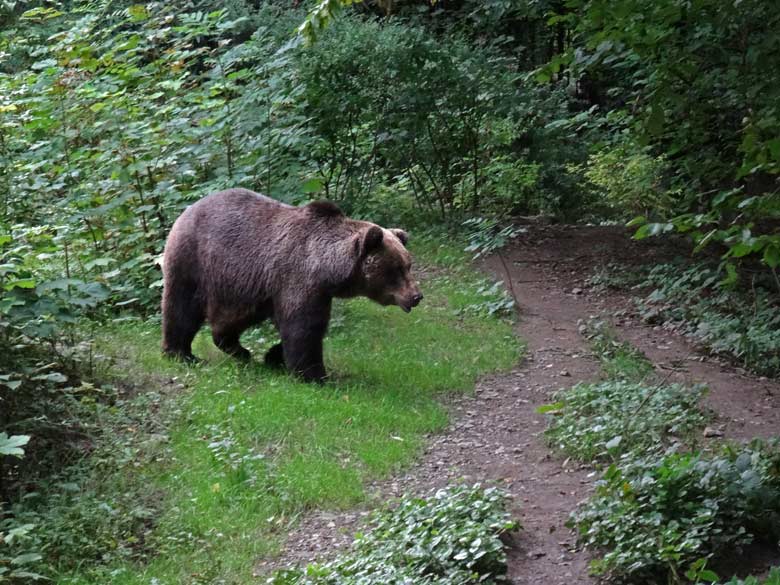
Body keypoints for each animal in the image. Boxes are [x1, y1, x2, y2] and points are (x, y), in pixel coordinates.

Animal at [161, 186, 424, 378]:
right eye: (396, 269)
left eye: (408, 264)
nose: (416, 296)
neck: (327, 268)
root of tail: (187, 209)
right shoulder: (298, 280)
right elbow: (304, 328)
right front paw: (315, 375)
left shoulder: (296, 290)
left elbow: (303, 327)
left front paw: (274, 356)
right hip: (193, 262)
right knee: (182, 308)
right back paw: (181, 353)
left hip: (240, 284)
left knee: (230, 320)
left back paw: (239, 350)